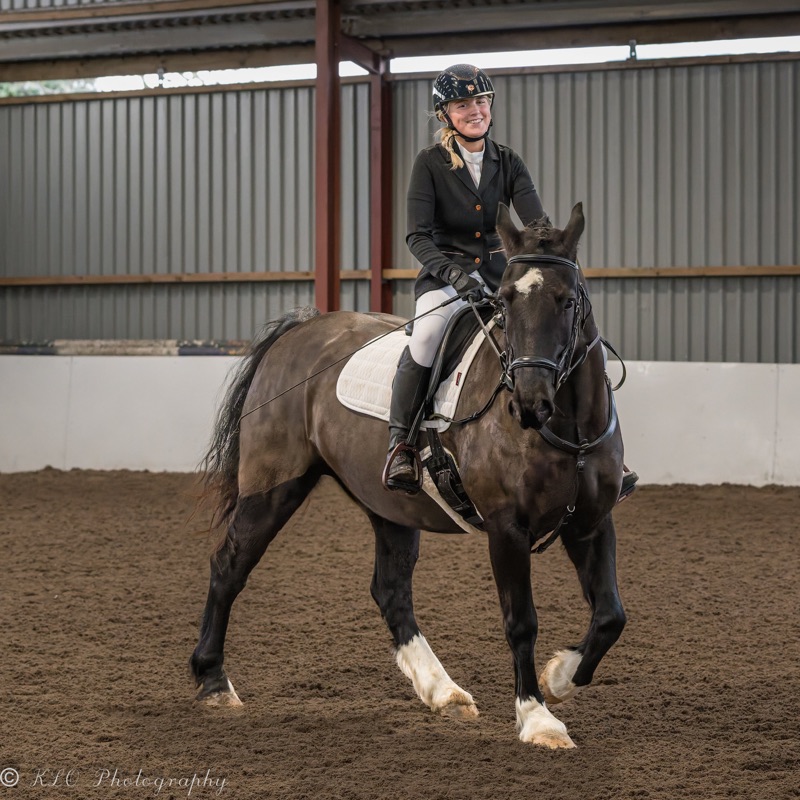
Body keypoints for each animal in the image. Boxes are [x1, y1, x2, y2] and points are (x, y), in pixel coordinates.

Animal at [190, 201, 627, 749]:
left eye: (567, 302)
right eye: (504, 302)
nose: (528, 403)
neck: (565, 425)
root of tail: (300, 331)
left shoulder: (591, 521)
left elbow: (610, 615)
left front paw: (560, 677)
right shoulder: (507, 527)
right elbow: (521, 621)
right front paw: (537, 717)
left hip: (390, 504)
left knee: (391, 590)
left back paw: (444, 691)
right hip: (273, 486)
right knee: (229, 566)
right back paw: (213, 682)